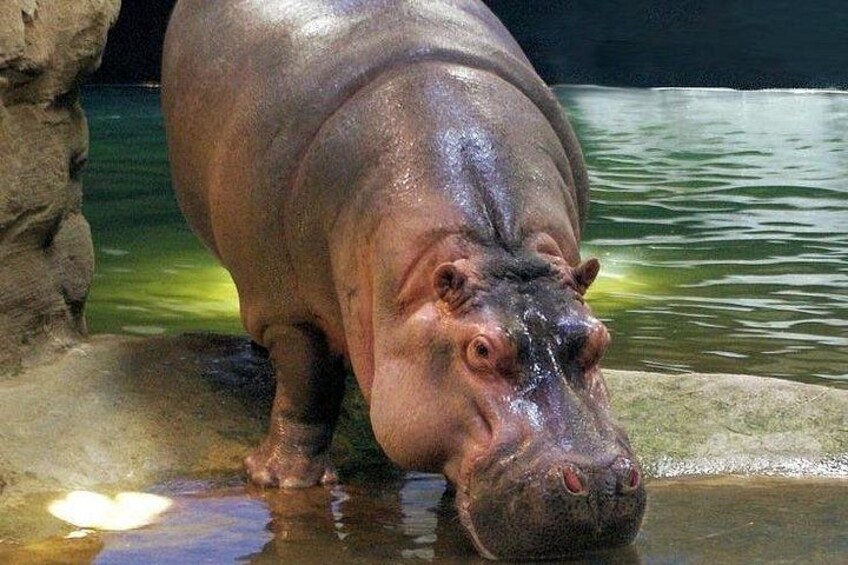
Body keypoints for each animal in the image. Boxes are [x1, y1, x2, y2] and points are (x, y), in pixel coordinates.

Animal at [162, 0, 645, 559]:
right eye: (481, 350)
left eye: (599, 338)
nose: (598, 484)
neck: (494, 248)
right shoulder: (289, 310)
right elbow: (308, 385)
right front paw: (277, 480)